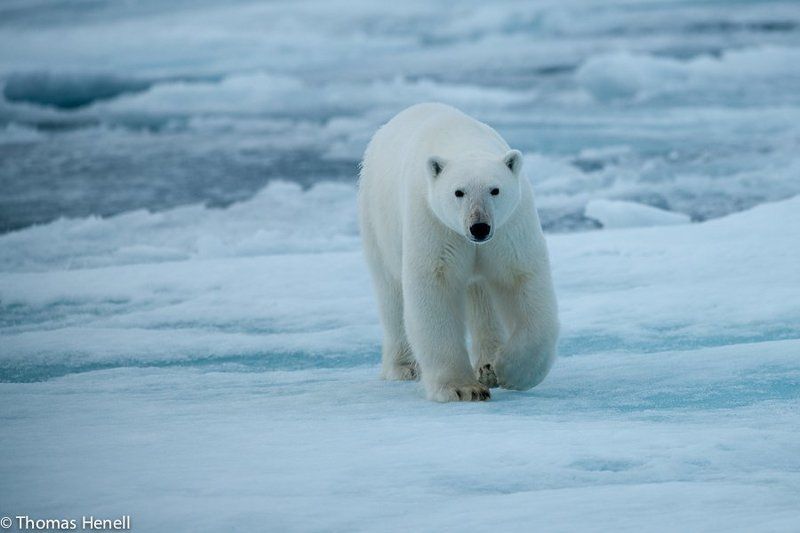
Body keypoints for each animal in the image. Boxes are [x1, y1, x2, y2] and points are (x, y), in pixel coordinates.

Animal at [358, 103, 559, 402]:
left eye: (495, 190)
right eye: (458, 192)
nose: (479, 227)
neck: (462, 141)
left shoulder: (510, 227)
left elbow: (521, 279)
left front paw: (510, 370)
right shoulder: (433, 221)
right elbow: (435, 286)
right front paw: (462, 388)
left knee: (482, 295)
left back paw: (487, 365)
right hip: (377, 221)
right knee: (391, 293)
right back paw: (404, 367)